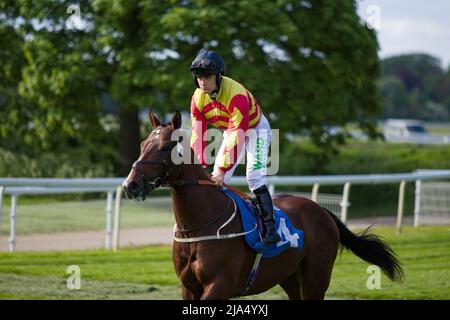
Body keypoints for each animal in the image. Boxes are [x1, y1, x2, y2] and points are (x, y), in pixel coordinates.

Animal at [121, 110, 402, 300]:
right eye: (143, 144)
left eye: (165, 146)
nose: (130, 185)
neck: (198, 226)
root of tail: (321, 211)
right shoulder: (188, 287)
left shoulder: (219, 286)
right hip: (289, 276)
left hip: (316, 276)